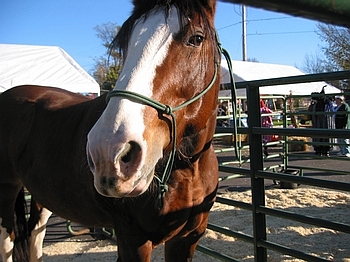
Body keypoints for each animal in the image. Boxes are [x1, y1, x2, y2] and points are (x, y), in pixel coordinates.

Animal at [0, 1, 220, 260]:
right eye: (125, 43)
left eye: (196, 38)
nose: (107, 152)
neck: (188, 169)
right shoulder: (132, 241)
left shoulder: (187, 238)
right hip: (5, 191)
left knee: (36, 233)